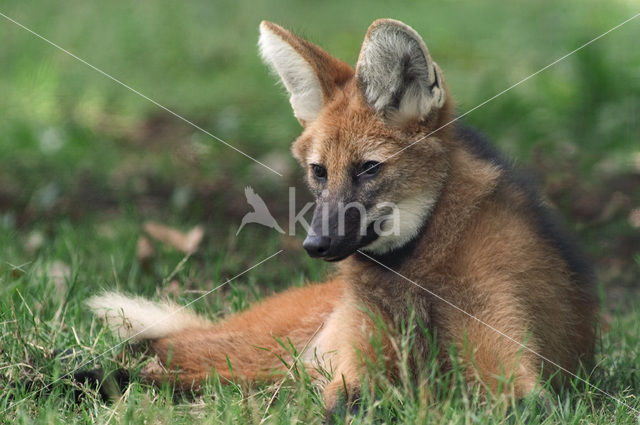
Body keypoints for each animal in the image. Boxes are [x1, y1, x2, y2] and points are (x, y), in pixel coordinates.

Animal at [87, 19, 596, 414]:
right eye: (319, 171)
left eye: (368, 168)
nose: (316, 245)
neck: (417, 267)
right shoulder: (357, 366)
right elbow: (350, 402)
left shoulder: (518, 374)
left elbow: (506, 401)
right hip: (267, 353)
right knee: (161, 356)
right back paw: (75, 378)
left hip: (269, 368)